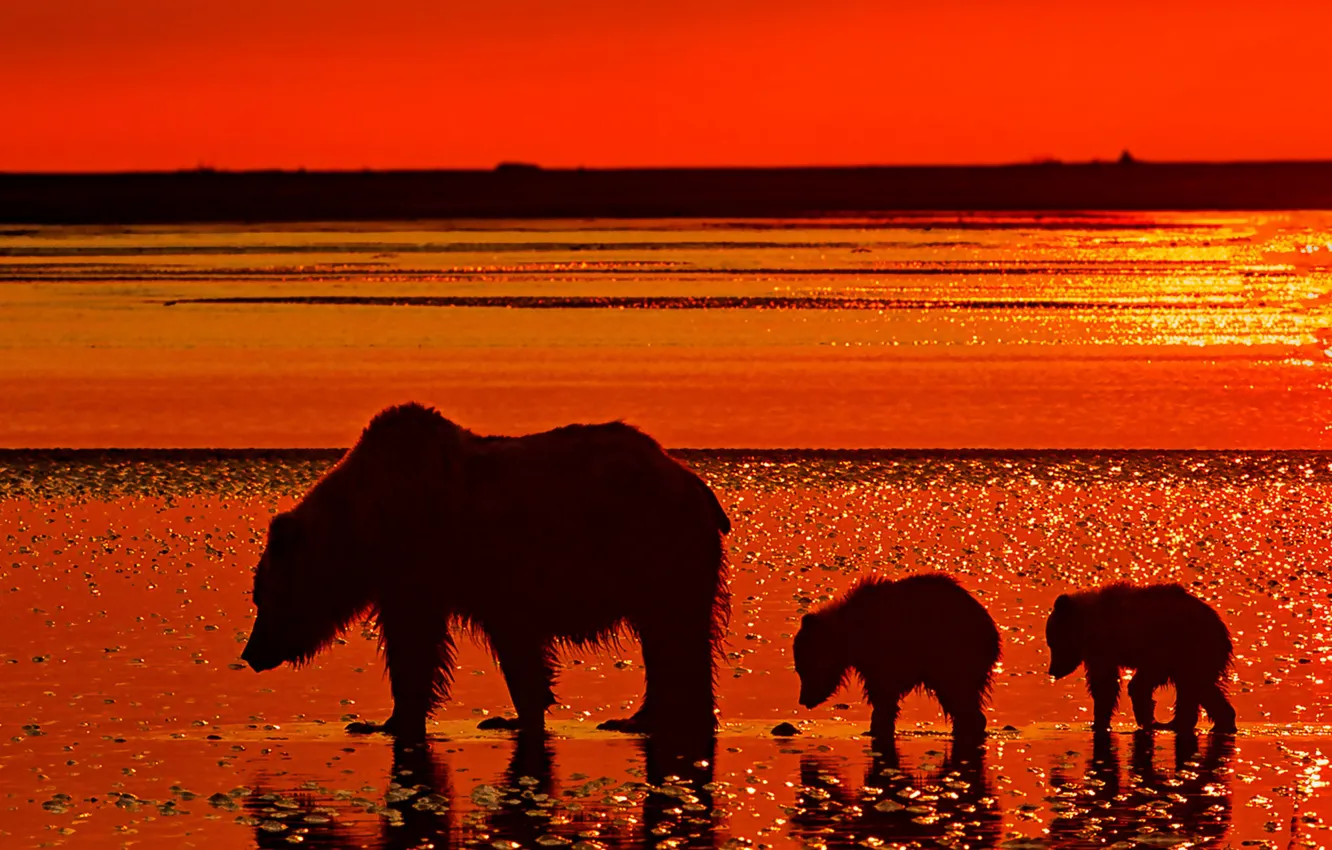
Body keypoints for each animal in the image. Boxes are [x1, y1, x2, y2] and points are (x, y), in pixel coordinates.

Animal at [240, 402, 731, 740]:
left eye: (262, 594)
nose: (251, 653)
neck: (369, 525)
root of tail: (694, 482)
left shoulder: (441, 565)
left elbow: (425, 645)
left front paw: (384, 722)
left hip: (656, 550)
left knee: (677, 633)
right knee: (671, 638)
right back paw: (641, 716)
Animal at [792, 573, 1000, 739]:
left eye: (804, 668)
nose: (803, 699)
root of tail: (992, 629)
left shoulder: (887, 653)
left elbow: (884, 695)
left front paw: (877, 726)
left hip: (955, 654)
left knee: (959, 695)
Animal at [1045, 582, 1237, 734]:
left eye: (1053, 643)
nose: (1052, 670)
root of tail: (1221, 627)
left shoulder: (1130, 645)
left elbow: (1108, 684)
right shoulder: (1101, 652)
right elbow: (1104, 684)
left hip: (1192, 647)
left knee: (1192, 686)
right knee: (1198, 688)